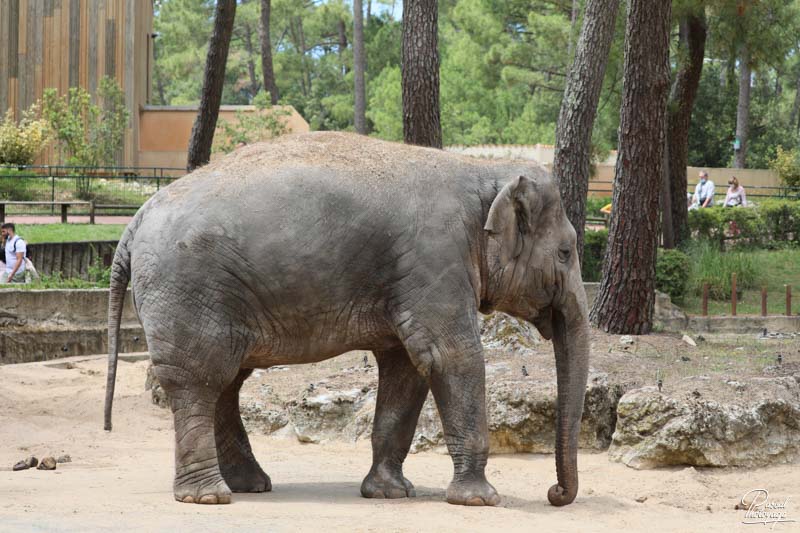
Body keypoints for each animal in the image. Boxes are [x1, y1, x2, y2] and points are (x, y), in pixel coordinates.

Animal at [103, 131, 592, 504]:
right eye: (566, 253)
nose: (555, 493)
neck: (480, 170)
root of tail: (134, 221)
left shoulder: (412, 278)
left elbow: (406, 368)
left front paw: (391, 493)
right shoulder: (435, 259)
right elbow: (452, 357)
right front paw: (480, 500)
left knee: (226, 381)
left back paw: (249, 486)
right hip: (187, 289)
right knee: (200, 380)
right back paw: (209, 496)